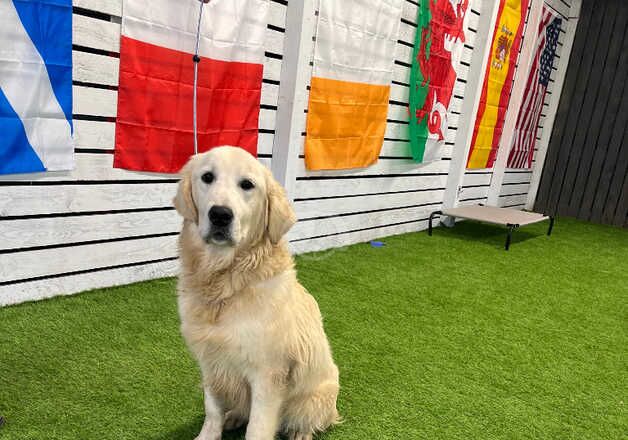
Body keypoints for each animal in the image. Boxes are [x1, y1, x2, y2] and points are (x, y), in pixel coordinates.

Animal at [173, 148, 338, 440]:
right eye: (207, 177)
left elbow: (258, 427)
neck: (225, 283)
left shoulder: (267, 374)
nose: (220, 214)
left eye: (247, 185)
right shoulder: (210, 361)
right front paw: (210, 433)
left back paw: (300, 433)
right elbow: (212, 409)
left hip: (318, 395)